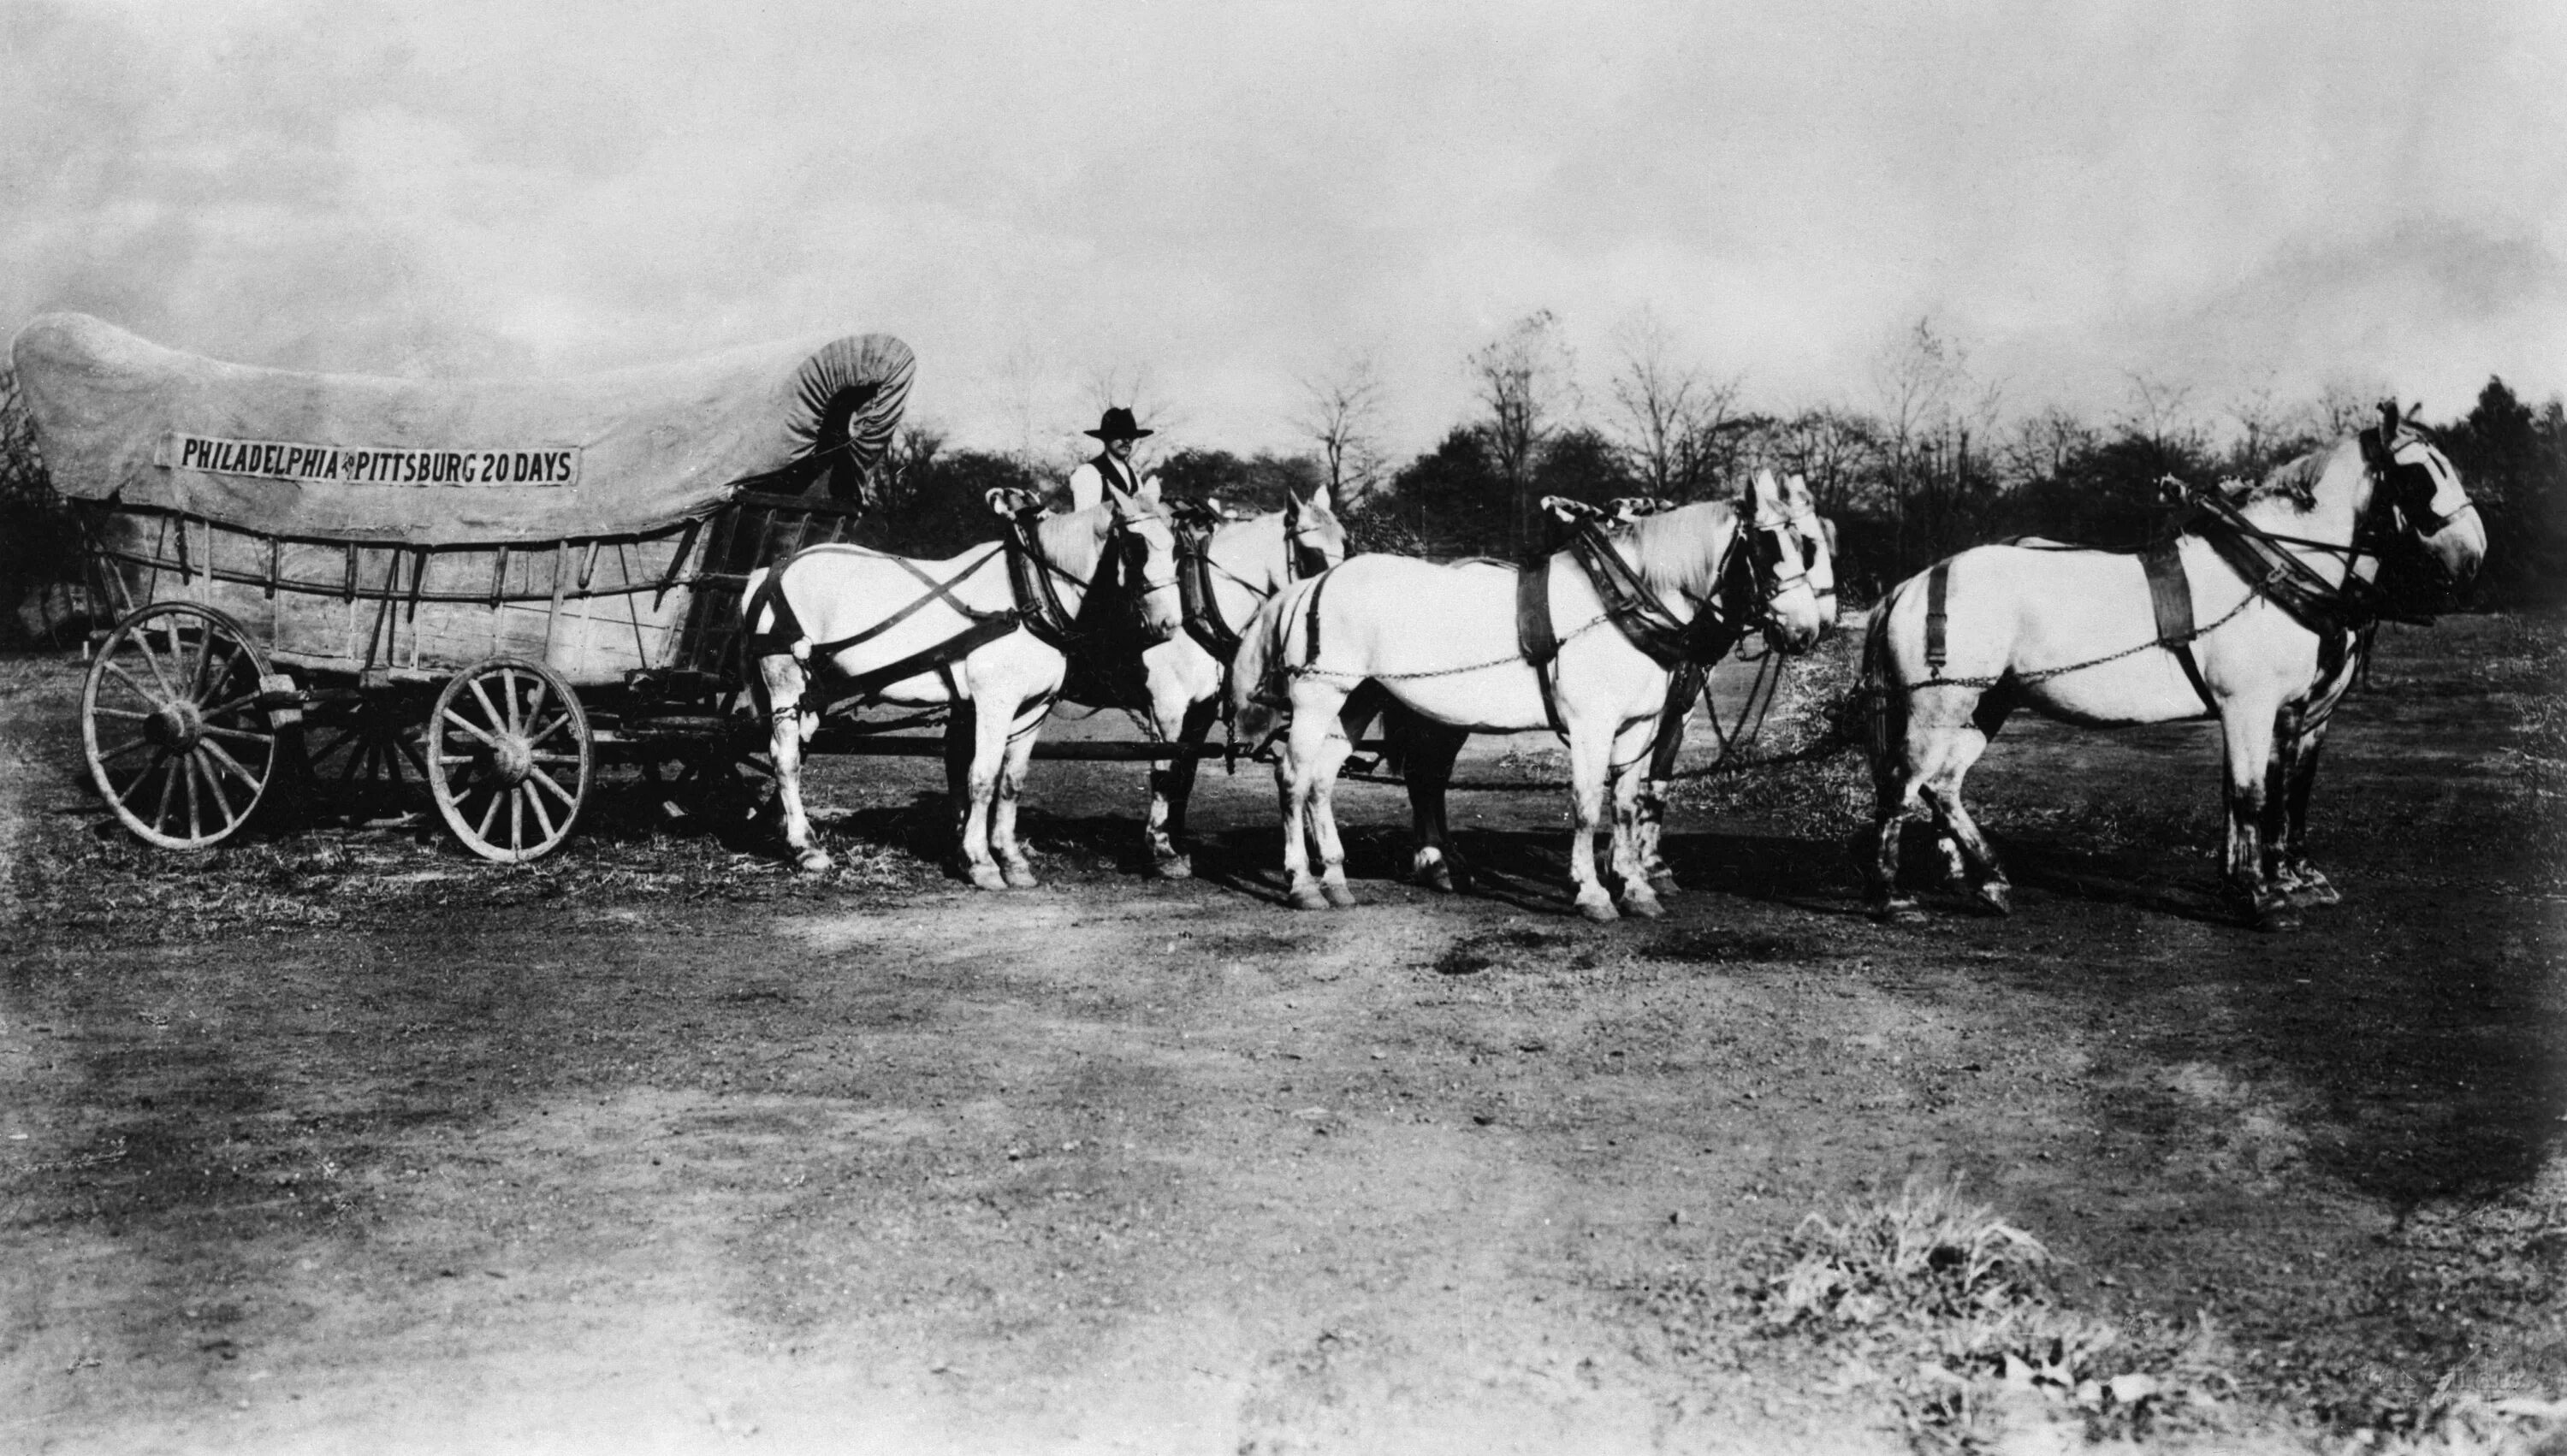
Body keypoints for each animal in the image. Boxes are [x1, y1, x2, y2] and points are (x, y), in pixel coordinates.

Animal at [744, 485, 1181, 883]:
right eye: (1138, 547)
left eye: (1176, 546)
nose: (1170, 625)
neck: (1026, 595)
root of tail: (769, 571)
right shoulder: (994, 704)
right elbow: (982, 779)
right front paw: (980, 862)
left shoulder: (1035, 709)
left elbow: (1011, 782)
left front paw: (1012, 860)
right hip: (784, 682)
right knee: (785, 758)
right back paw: (806, 849)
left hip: (814, 692)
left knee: (797, 752)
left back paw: (790, 832)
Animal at [1232, 472, 1838, 919]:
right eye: (1774, 545)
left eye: (1808, 543)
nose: (1808, 630)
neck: (1621, 602)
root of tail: (1311, 585)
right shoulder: (1593, 726)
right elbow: (1587, 804)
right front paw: (1592, 892)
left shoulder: (1639, 727)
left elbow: (1626, 803)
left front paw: (1636, 888)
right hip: (1318, 697)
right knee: (1294, 777)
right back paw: (1302, 883)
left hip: (1356, 700)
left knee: (1324, 779)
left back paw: (1337, 878)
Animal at [1869, 408, 2485, 934]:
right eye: (2420, 475)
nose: (2474, 556)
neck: (2270, 572)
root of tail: (1914, 583)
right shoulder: (2250, 708)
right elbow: (2251, 796)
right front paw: (2259, 896)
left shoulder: (2288, 713)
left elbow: (2277, 793)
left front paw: (2278, 882)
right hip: (1937, 709)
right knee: (1903, 785)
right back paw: (1895, 896)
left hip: (1983, 706)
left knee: (1943, 786)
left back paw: (1991, 881)